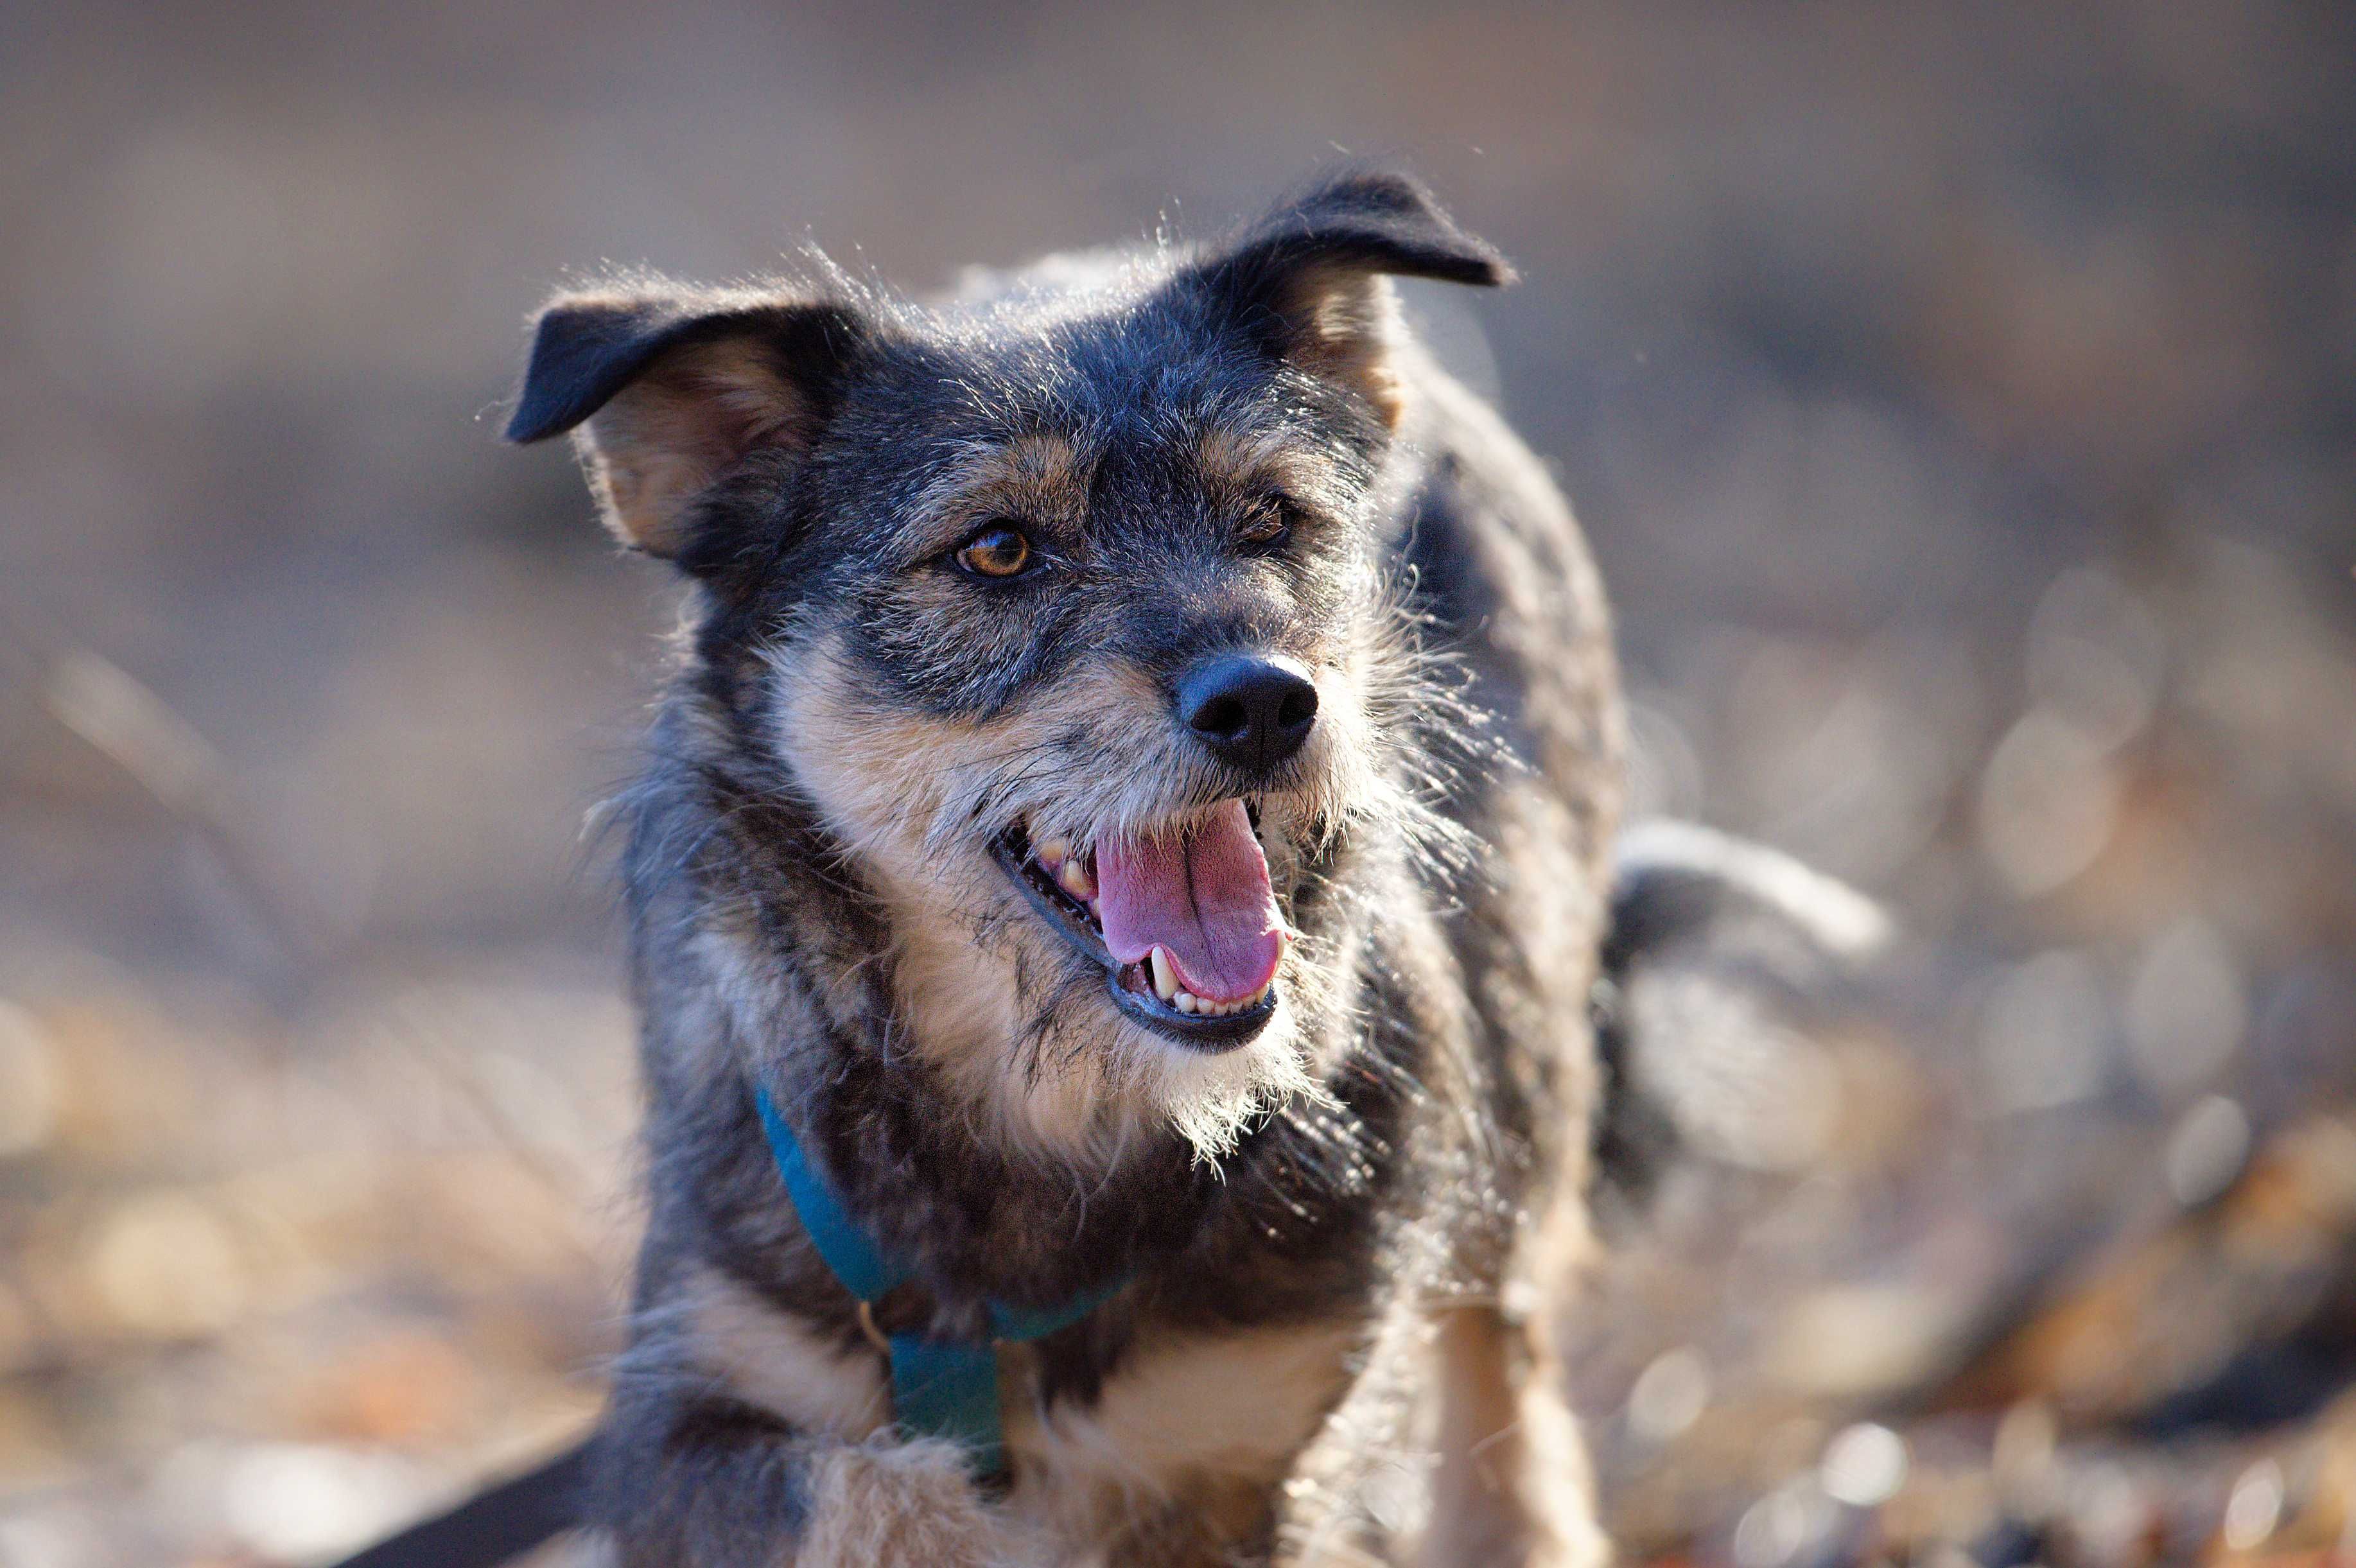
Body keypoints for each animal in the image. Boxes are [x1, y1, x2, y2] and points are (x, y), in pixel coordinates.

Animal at [504, 170, 1621, 1563]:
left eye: (1271, 515)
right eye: (996, 549)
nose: (1267, 702)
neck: (1048, 1117)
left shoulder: (1244, 1446)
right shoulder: (687, 1415)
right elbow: (869, 1495)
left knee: (1500, 1351)